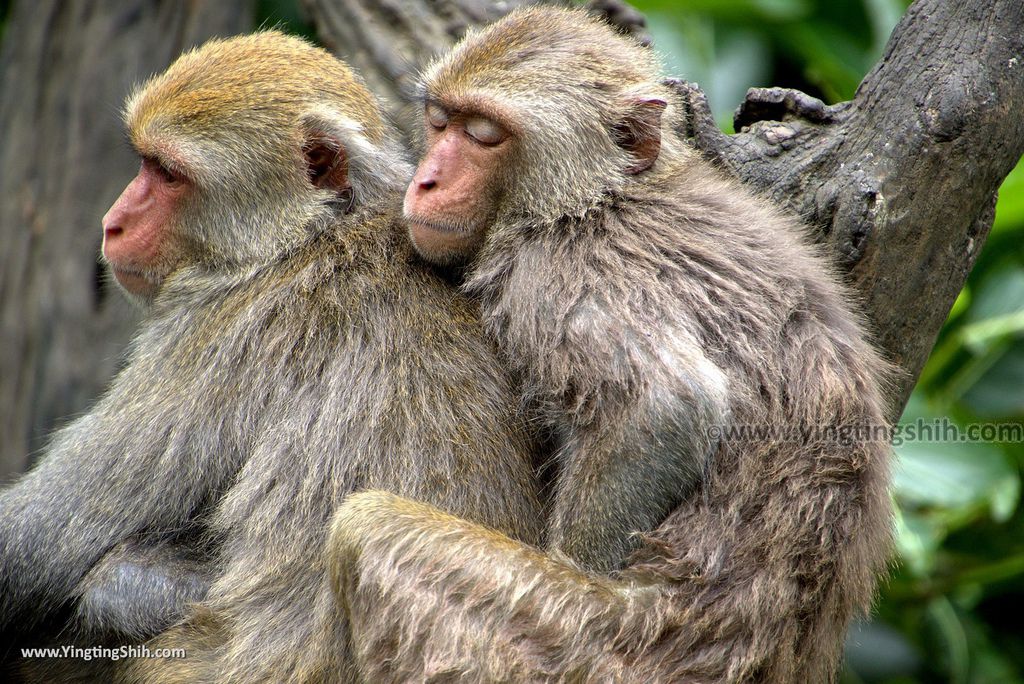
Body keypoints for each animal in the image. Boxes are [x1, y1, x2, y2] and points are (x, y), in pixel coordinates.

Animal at [0, 30, 544, 684]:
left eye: (168, 174)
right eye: (143, 164)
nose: (113, 223)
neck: (305, 234)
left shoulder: (204, 336)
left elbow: (33, 546)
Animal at [329, 6, 897, 684]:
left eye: (484, 134)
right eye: (439, 121)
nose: (427, 181)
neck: (594, 199)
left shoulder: (560, 272)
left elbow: (668, 405)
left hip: (593, 653)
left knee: (366, 529)